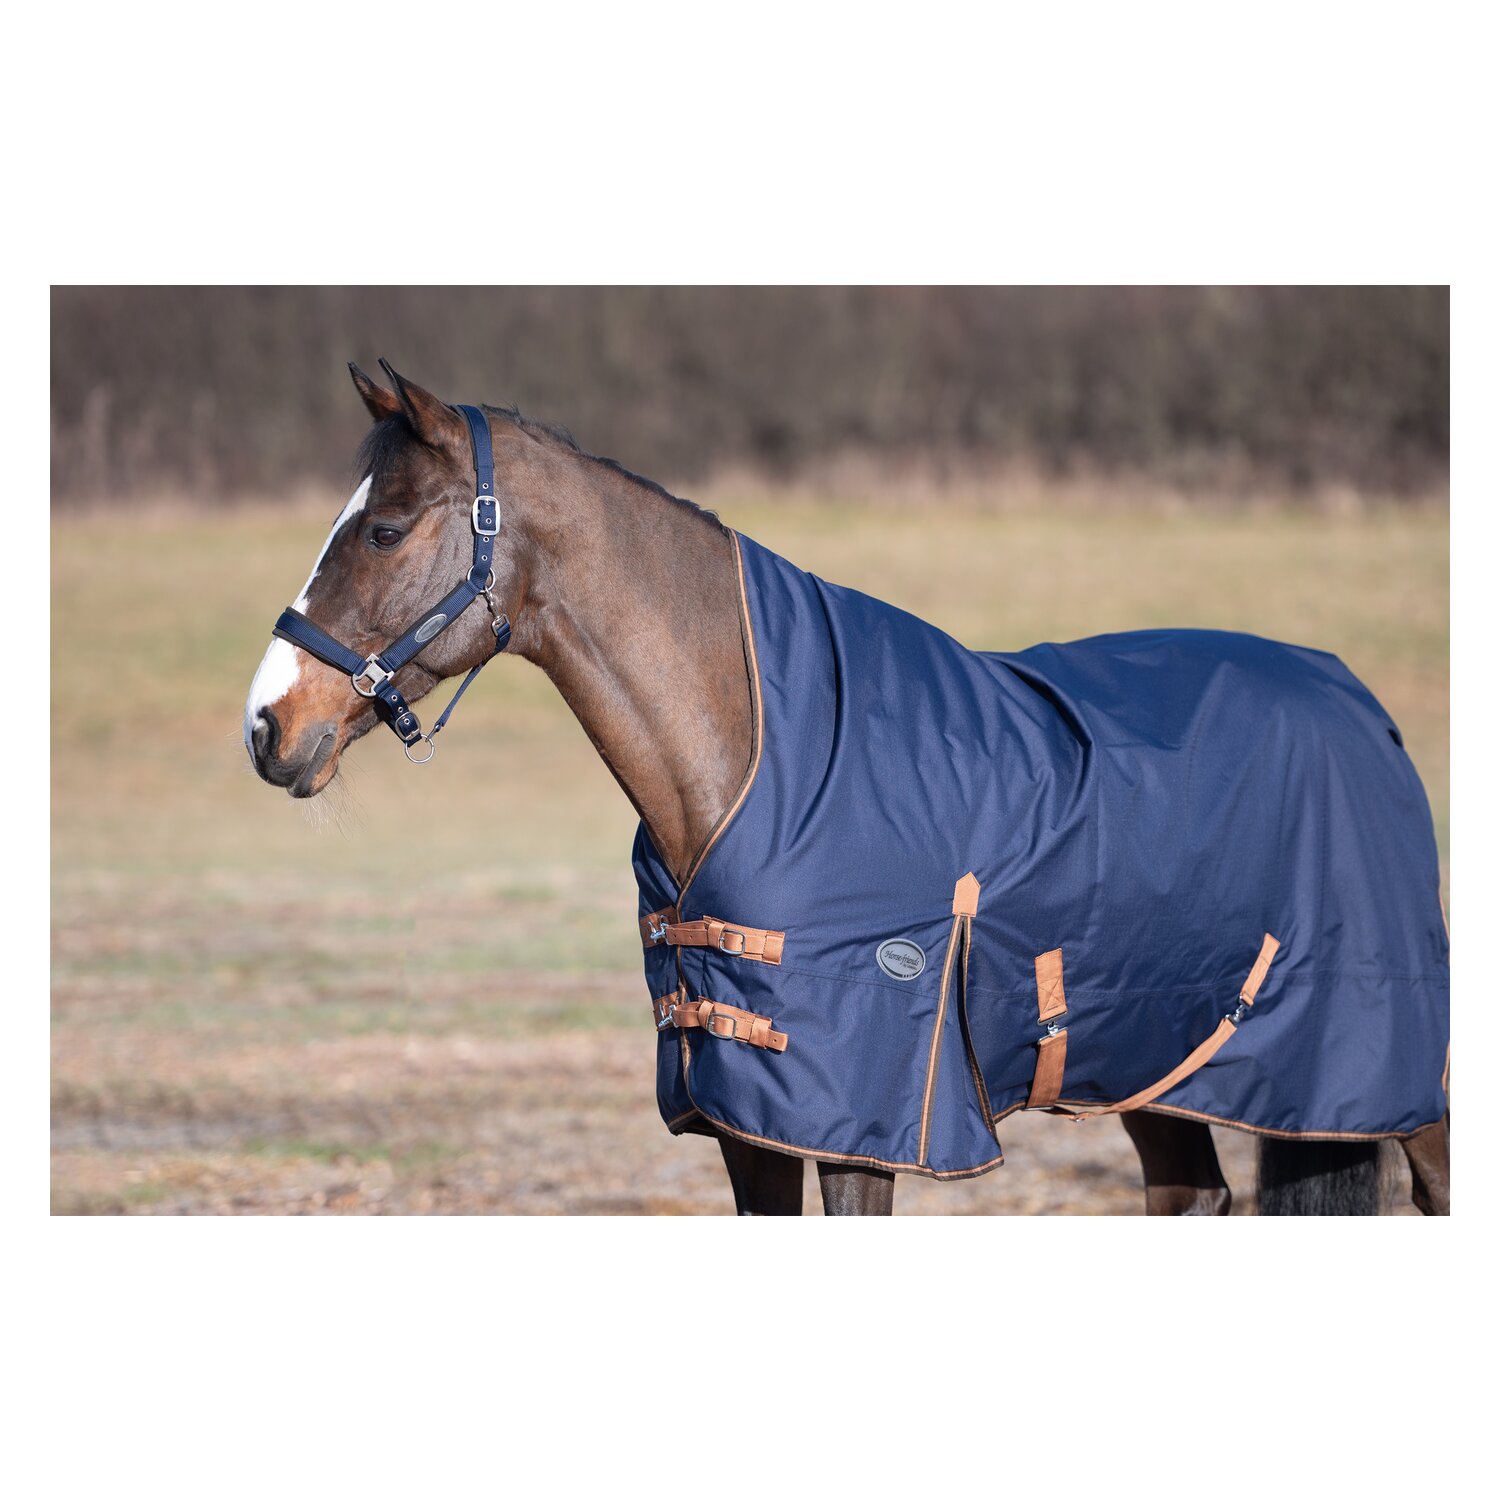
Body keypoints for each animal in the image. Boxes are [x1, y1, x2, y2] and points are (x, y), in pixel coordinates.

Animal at [244, 364, 1450, 1215]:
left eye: (385, 529)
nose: (268, 728)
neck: (755, 757)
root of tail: (1361, 706)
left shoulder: (853, 1116)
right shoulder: (748, 1119)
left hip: (1393, 1065)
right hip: (1148, 1056)